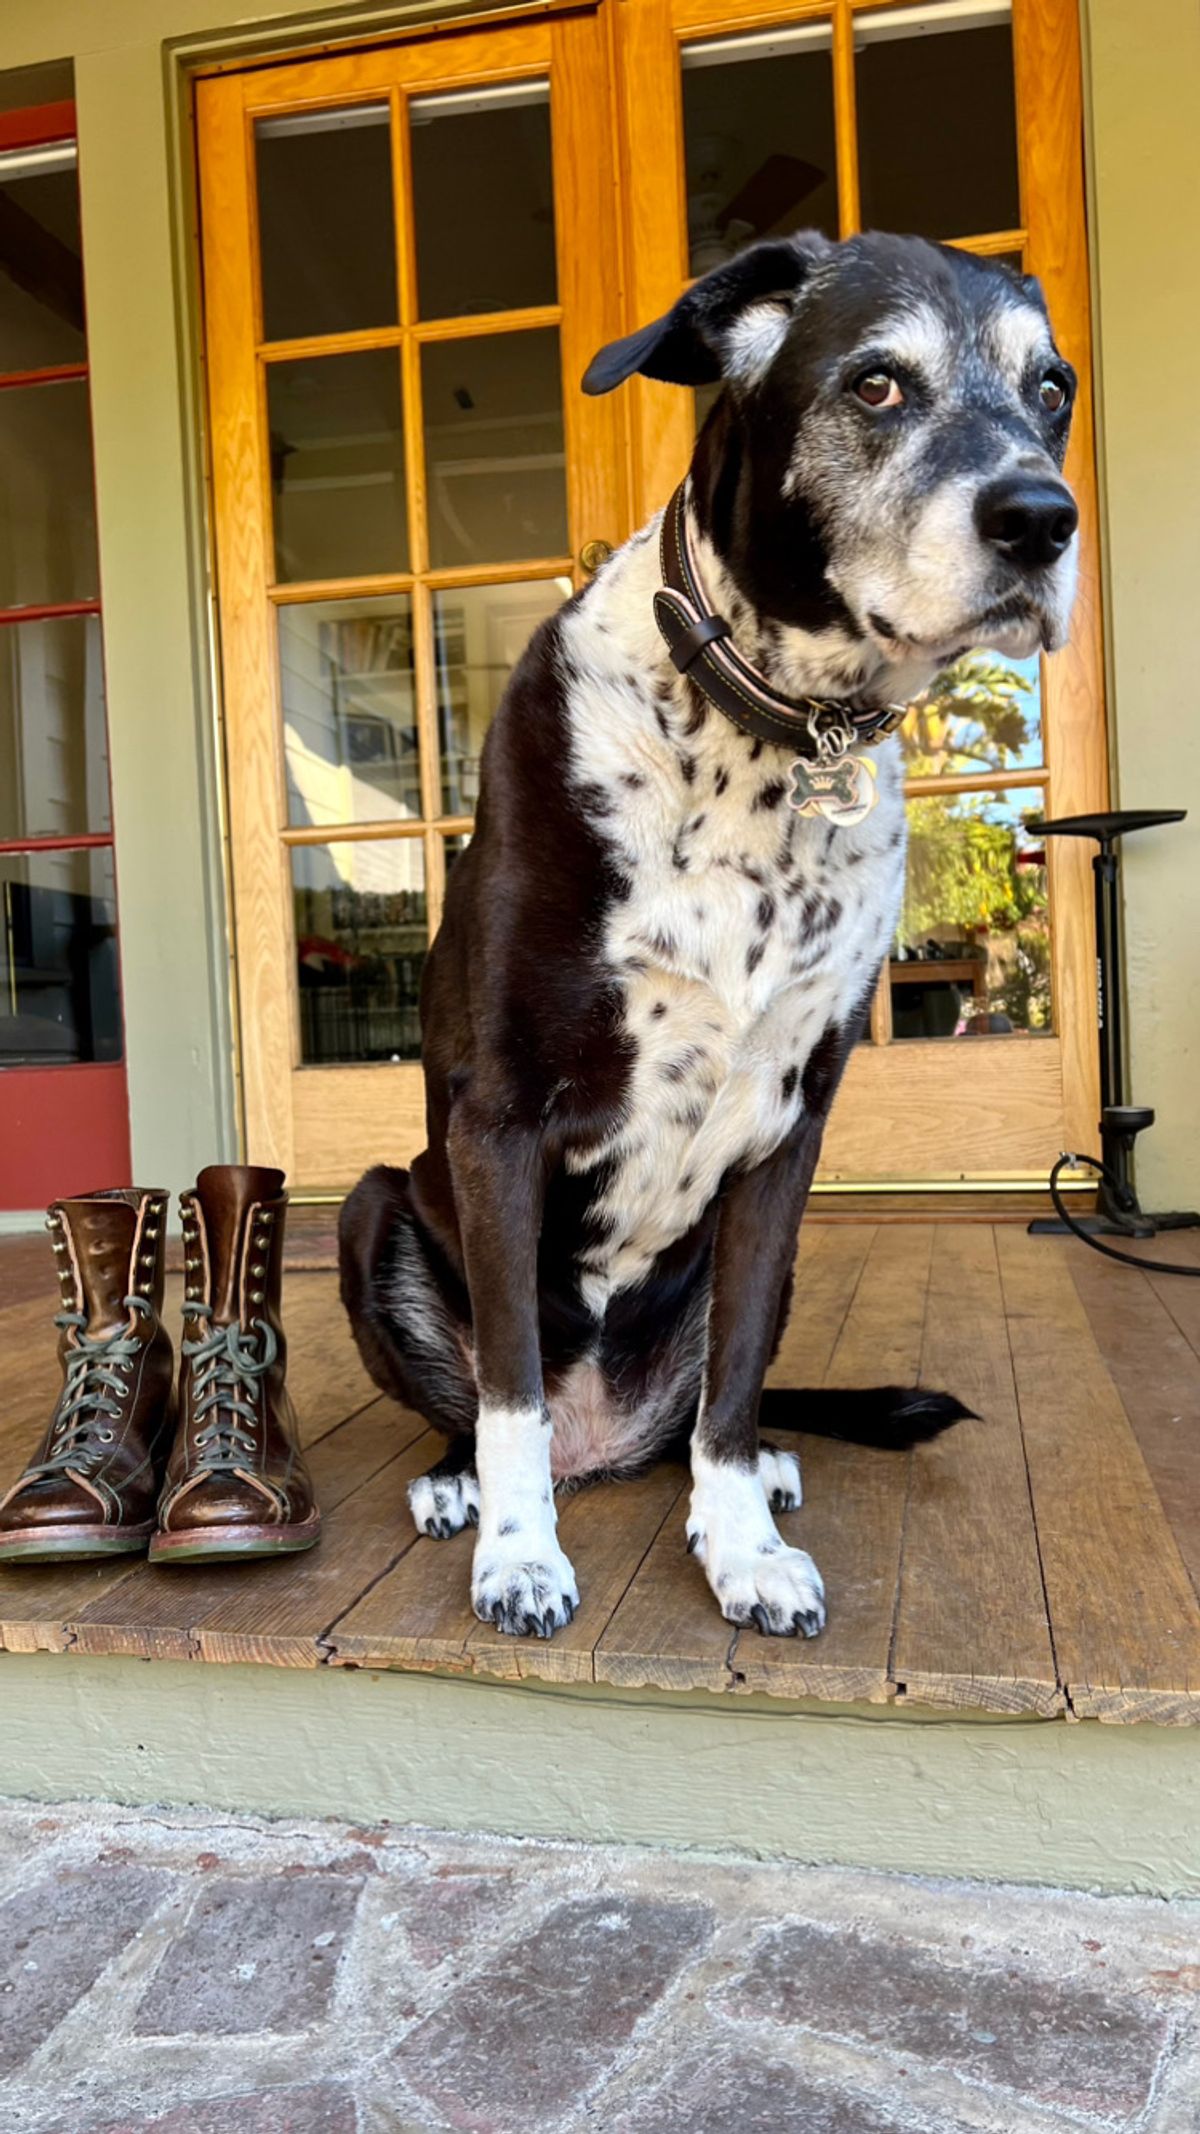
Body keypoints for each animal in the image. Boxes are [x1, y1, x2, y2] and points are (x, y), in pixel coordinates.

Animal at [337, 229, 1076, 1630]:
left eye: (1052, 389)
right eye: (877, 383)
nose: (1042, 517)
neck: (779, 727)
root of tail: (608, 1443)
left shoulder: (790, 1138)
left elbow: (729, 1390)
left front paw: (737, 1543)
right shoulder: (498, 1119)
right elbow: (509, 1382)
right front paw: (519, 1553)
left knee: (706, 1406)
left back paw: (758, 1464)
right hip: (372, 1203)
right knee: (488, 1399)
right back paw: (461, 1482)